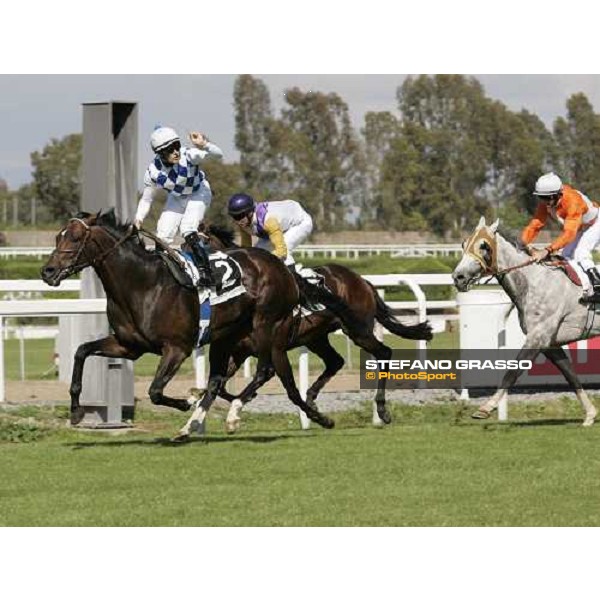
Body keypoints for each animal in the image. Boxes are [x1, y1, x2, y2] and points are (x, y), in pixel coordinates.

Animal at [42, 211, 340, 432]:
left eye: (76, 238)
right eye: (58, 236)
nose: (47, 271)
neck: (142, 284)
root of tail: (283, 268)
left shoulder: (177, 348)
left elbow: (155, 391)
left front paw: (186, 401)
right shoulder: (129, 345)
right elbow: (81, 351)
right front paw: (76, 411)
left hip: (266, 326)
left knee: (267, 371)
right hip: (227, 338)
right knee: (223, 380)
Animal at [199, 223, 434, 428]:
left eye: (203, 243)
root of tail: (363, 281)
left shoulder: (275, 349)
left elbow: (285, 387)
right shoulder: (239, 352)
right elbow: (220, 385)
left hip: (357, 330)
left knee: (384, 353)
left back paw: (382, 410)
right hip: (316, 337)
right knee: (336, 361)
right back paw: (312, 397)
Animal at [452, 216, 596, 426]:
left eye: (484, 246)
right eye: (464, 244)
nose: (458, 277)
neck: (535, 281)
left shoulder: (537, 337)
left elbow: (512, 372)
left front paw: (486, 407)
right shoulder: (549, 343)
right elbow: (570, 375)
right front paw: (590, 414)